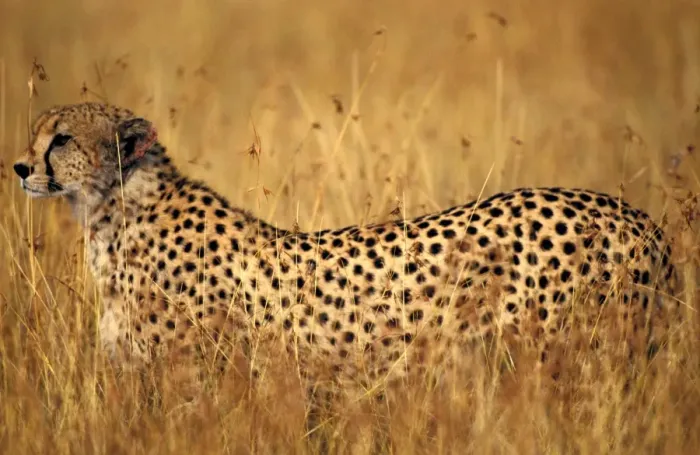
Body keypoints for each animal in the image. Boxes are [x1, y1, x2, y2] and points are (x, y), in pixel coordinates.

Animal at [13, 102, 682, 406]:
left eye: (62, 139)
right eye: (36, 132)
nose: (19, 167)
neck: (114, 210)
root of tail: (634, 215)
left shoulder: (195, 385)